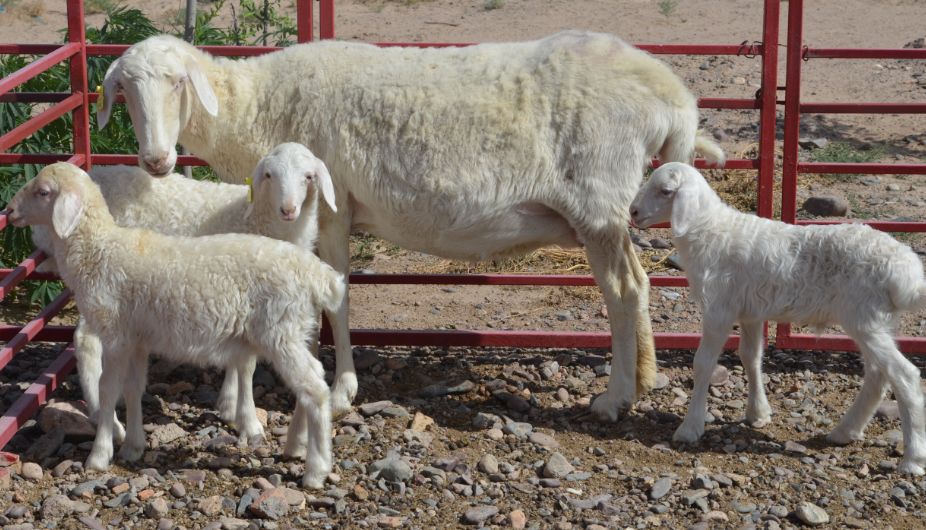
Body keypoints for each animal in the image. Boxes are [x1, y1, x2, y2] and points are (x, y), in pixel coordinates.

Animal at [6, 162, 348, 486]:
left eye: (43, 192)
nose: (9, 211)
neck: (100, 250)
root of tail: (317, 274)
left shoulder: (116, 334)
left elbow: (108, 389)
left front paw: (99, 455)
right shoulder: (137, 339)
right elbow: (133, 388)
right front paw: (133, 447)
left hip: (280, 331)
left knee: (315, 390)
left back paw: (316, 470)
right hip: (295, 330)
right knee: (312, 380)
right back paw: (295, 445)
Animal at [98, 31, 728, 418]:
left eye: (178, 82)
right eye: (123, 89)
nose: (156, 160)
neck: (258, 104)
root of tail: (674, 97)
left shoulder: (332, 205)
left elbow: (338, 298)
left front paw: (342, 387)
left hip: (598, 204)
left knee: (624, 292)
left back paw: (615, 397)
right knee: (635, 288)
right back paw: (641, 380)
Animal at [632, 162, 926, 474]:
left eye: (665, 191)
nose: (634, 212)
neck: (708, 230)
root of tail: (905, 272)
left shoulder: (718, 309)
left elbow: (703, 364)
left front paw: (690, 428)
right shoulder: (749, 311)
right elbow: (750, 356)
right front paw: (757, 413)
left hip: (864, 317)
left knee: (904, 375)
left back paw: (912, 458)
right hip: (876, 320)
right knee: (877, 375)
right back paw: (845, 432)